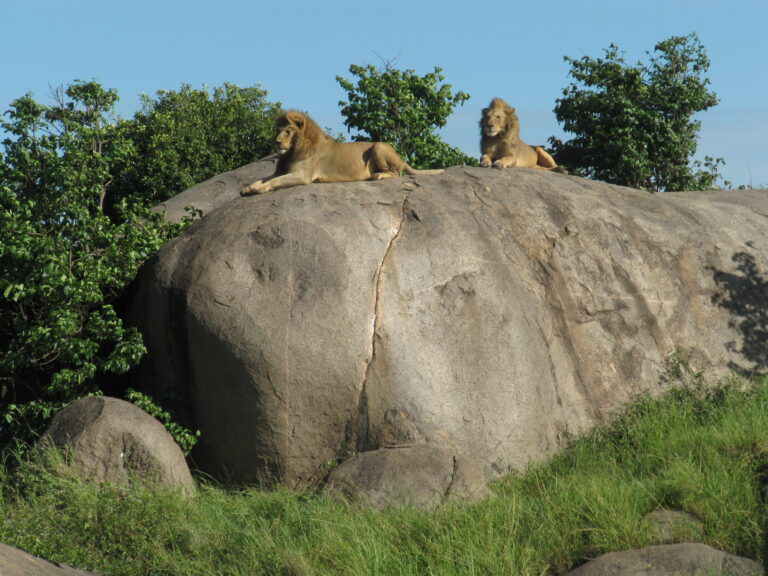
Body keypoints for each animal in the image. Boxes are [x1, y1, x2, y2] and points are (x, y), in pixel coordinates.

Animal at [240, 110, 444, 196]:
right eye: (278, 130)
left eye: (288, 131)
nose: (276, 141)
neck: (292, 150)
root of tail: (401, 157)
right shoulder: (284, 170)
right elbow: (264, 178)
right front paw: (249, 187)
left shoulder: (302, 175)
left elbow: (274, 182)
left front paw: (258, 189)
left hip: (378, 146)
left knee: (395, 172)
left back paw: (377, 176)